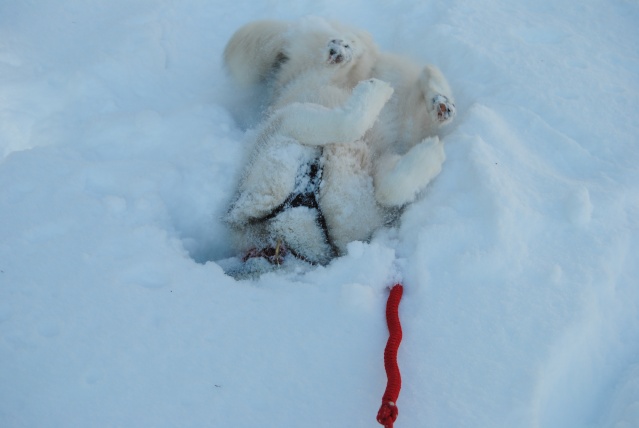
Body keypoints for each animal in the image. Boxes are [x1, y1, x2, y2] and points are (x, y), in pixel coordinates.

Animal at [222, 18, 458, 272]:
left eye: (304, 183)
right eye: (299, 198)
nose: (318, 166)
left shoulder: (288, 123)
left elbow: (347, 124)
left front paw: (374, 91)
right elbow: (388, 188)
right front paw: (430, 154)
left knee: (354, 54)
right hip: (407, 121)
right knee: (421, 76)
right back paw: (436, 102)